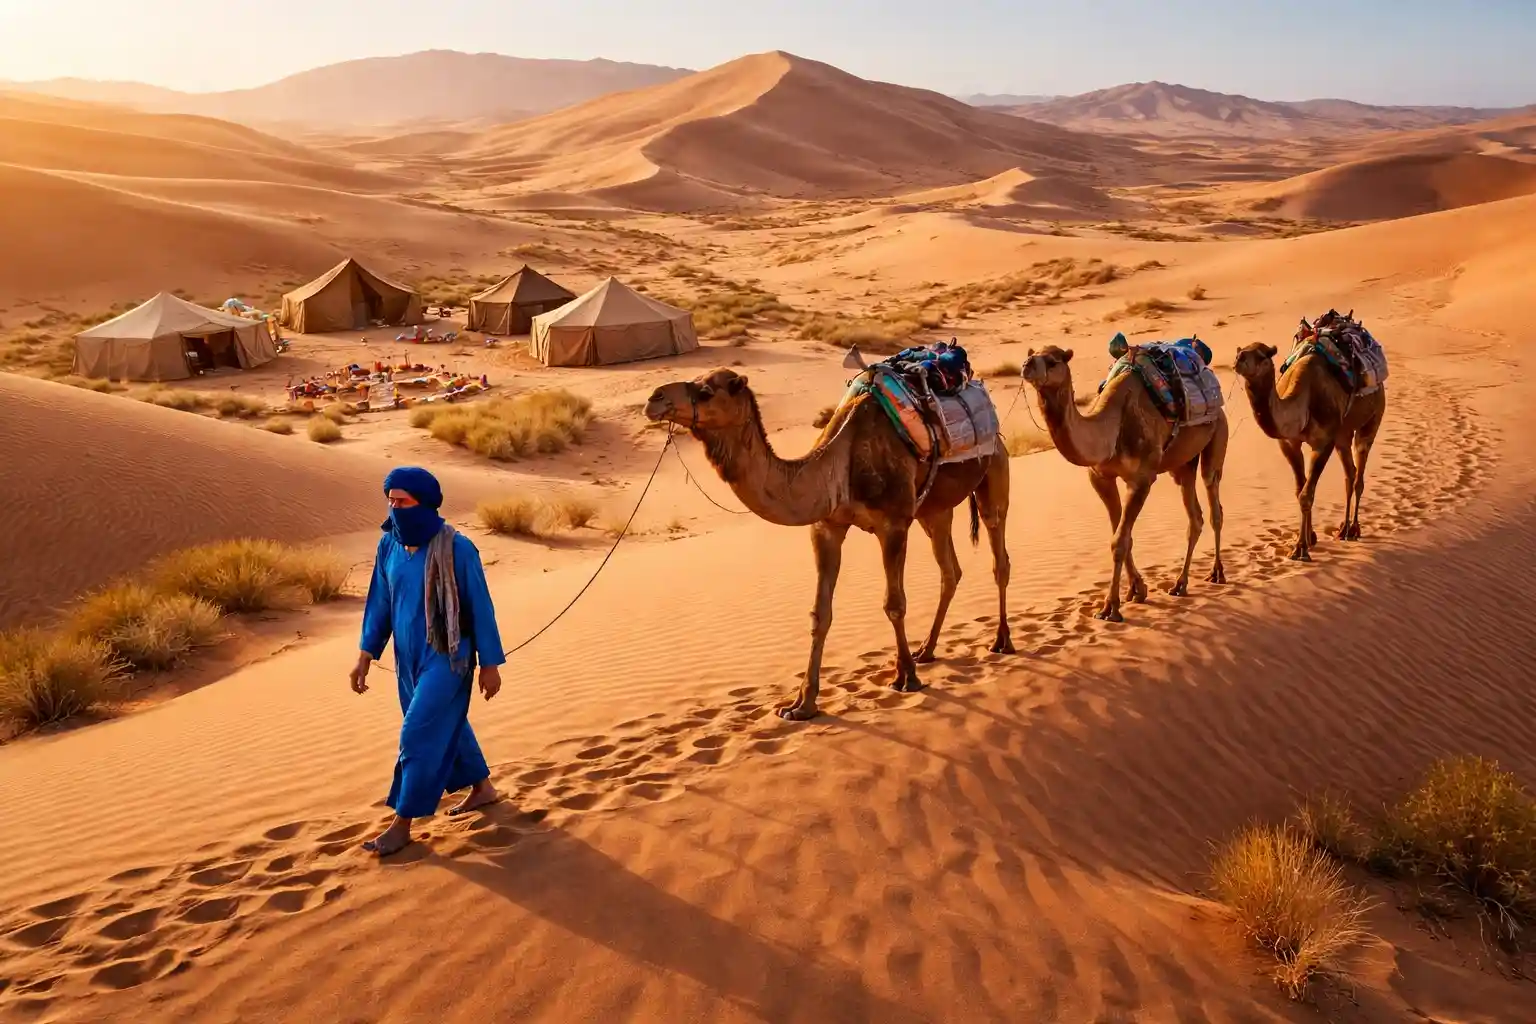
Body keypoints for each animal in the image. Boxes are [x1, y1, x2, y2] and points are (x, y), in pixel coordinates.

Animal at [644, 366, 1013, 721]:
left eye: (706, 391)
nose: (654, 398)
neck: (840, 463)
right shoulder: (827, 526)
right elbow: (820, 613)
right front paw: (802, 705)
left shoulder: (893, 524)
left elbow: (894, 604)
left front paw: (906, 677)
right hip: (933, 511)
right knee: (950, 570)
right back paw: (927, 649)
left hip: (993, 471)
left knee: (999, 557)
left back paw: (1001, 641)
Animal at [1022, 345, 1228, 623]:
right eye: (1031, 354)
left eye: (1053, 360)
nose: (1027, 365)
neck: (1110, 430)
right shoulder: (1100, 477)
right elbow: (1120, 534)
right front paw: (1136, 590)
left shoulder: (1142, 479)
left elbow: (1119, 541)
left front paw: (1110, 607)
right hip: (1182, 465)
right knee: (1195, 517)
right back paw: (1179, 584)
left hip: (1217, 437)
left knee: (1214, 503)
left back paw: (1217, 573)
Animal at [1234, 324, 1388, 561]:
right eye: (1241, 350)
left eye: (1261, 355)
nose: (1239, 358)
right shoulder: (1289, 443)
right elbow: (1300, 489)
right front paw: (1310, 538)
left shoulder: (1323, 443)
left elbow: (1307, 494)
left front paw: (1300, 548)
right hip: (1342, 434)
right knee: (1350, 474)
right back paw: (1343, 529)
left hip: (1372, 418)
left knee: (1359, 475)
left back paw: (1353, 529)